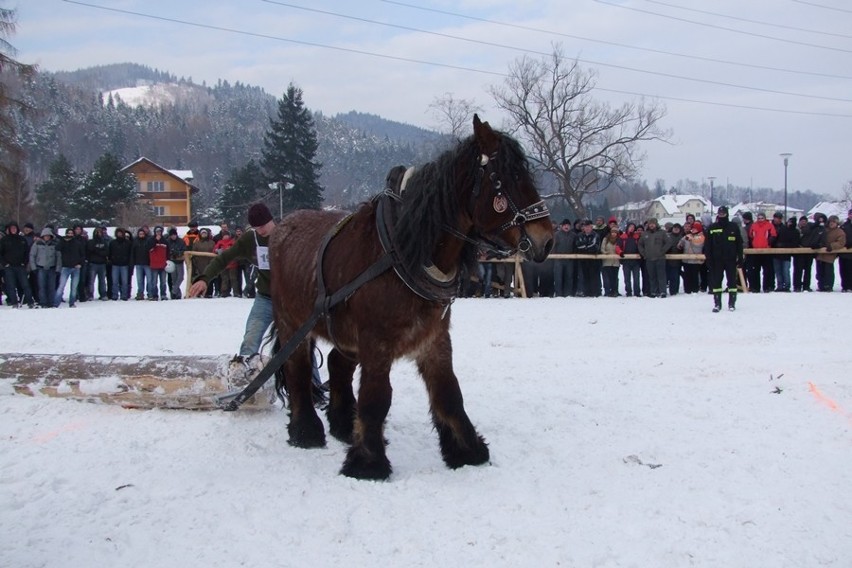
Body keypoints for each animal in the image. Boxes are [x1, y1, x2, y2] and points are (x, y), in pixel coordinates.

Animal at [270, 115, 556, 480]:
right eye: (507, 179)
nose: (547, 240)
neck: (400, 252)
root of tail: (283, 225)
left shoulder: (434, 337)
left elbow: (449, 393)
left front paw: (467, 451)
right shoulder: (376, 341)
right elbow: (377, 398)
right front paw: (367, 463)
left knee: (337, 364)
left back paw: (344, 425)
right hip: (293, 323)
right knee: (297, 369)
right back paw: (306, 431)